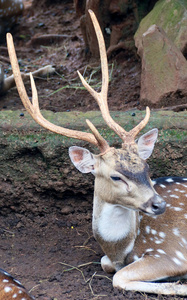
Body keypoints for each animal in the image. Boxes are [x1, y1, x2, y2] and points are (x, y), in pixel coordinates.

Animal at [5, 9, 187, 296]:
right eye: (115, 176)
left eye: (146, 168)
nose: (159, 204)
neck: (122, 248)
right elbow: (107, 266)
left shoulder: (173, 250)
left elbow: (119, 277)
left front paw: (179, 285)